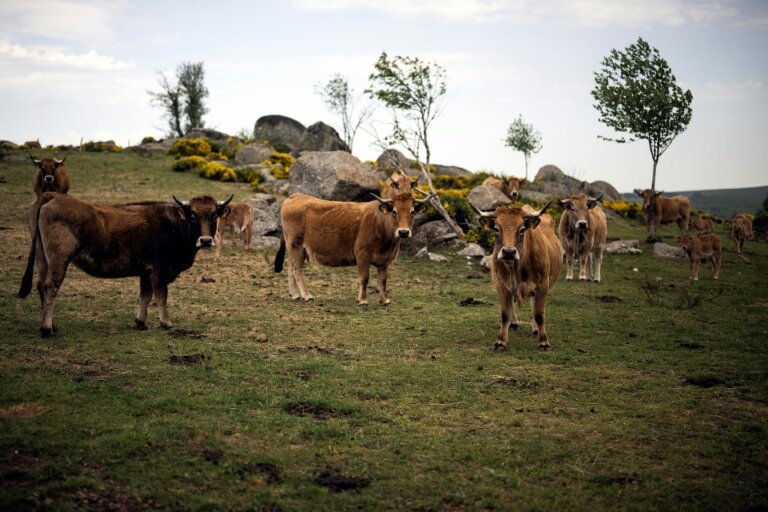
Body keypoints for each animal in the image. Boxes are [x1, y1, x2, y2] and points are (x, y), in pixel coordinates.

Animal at [18, 192, 232, 337]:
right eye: (193, 215)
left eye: (214, 215)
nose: (205, 240)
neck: (173, 225)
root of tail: (52, 195)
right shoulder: (159, 270)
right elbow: (161, 296)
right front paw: (166, 323)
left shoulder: (146, 271)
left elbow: (145, 296)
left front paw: (141, 322)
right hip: (59, 259)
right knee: (51, 287)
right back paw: (47, 329)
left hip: (42, 257)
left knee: (41, 285)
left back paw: (52, 325)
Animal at [274, 191, 432, 305]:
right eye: (394, 211)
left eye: (412, 212)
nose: (403, 232)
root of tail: (297, 196)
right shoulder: (362, 254)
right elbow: (364, 278)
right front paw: (362, 300)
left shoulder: (384, 261)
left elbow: (383, 280)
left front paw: (385, 300)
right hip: (296, 245)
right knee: (297, 270)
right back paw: (306, 295)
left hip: (295, 248)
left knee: (290, 267)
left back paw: (295, 294)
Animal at [476, 201, 563, 351]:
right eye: (496, 229)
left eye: (522, 229)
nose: (508, 252)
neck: (516, 270)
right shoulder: (501, 286)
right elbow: (505, 314)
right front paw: (500, 342)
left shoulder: (542, 286)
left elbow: (539, 314)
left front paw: (543, 342)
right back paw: (514, 324)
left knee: (534, 306)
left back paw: (535, 329)